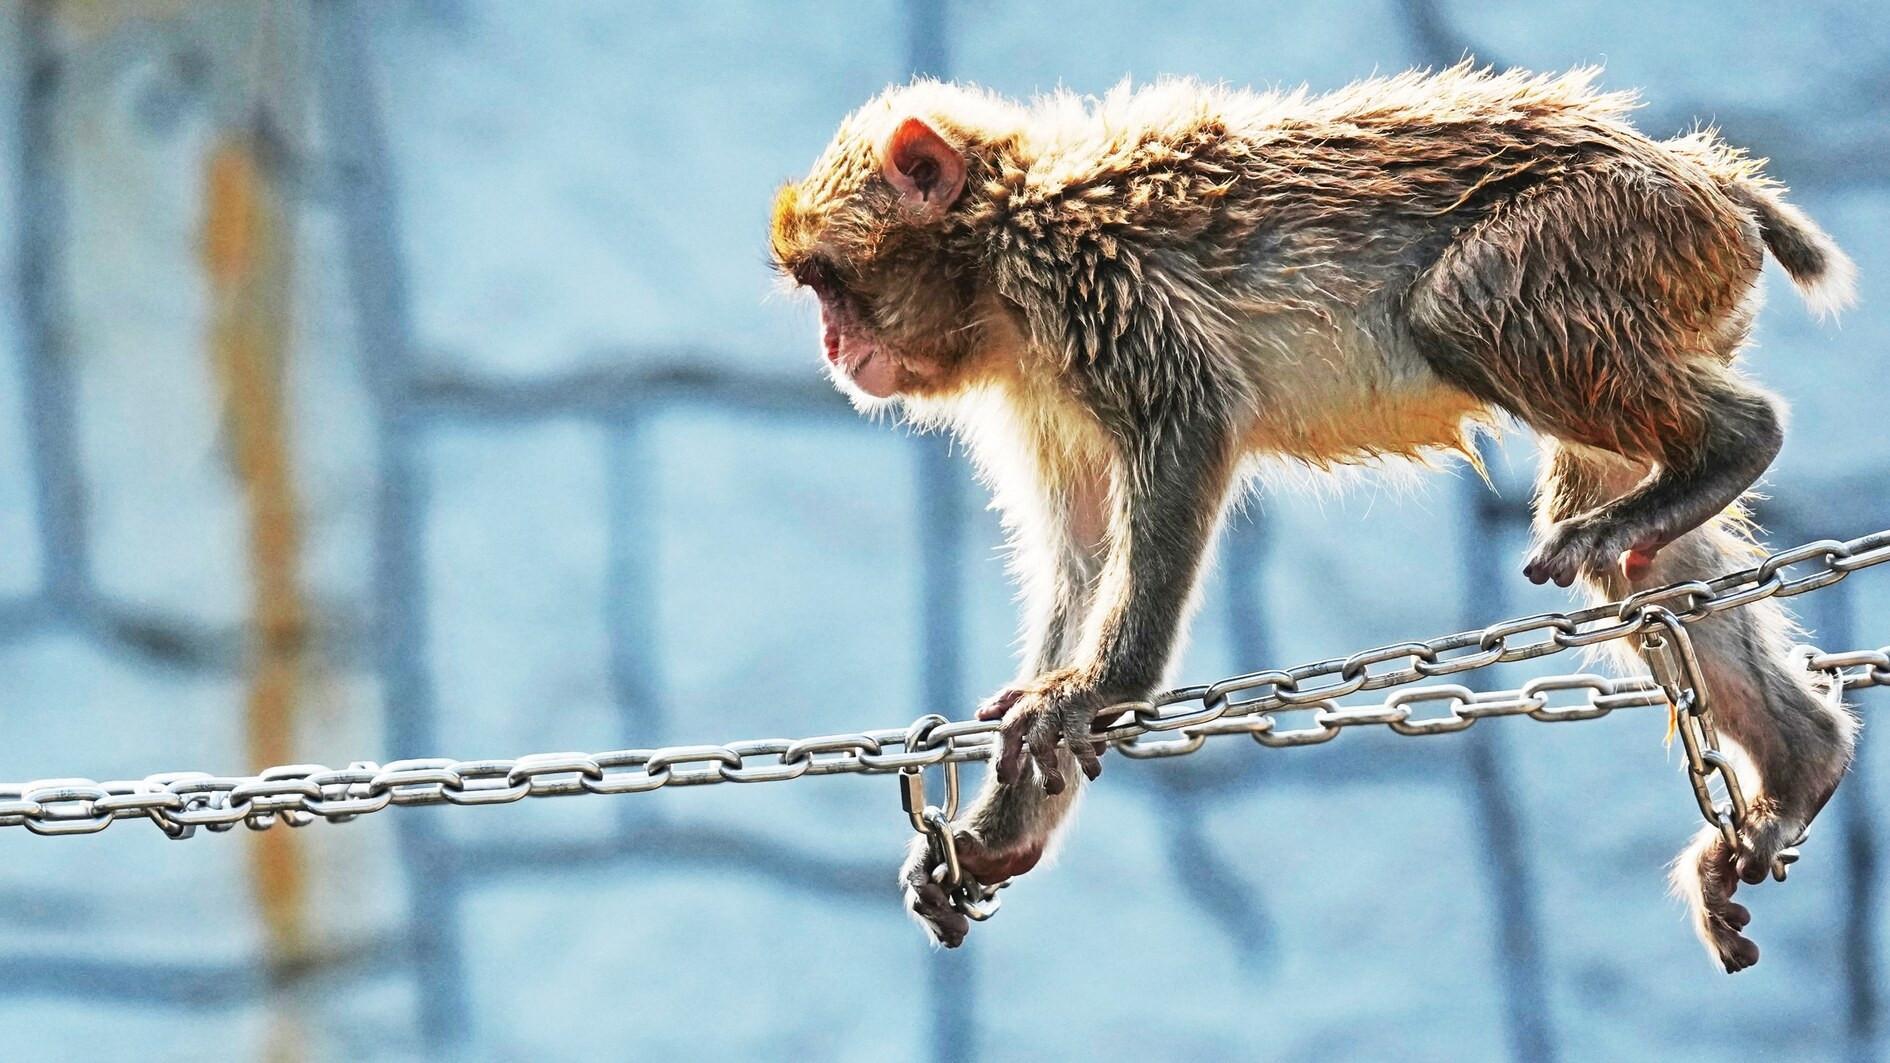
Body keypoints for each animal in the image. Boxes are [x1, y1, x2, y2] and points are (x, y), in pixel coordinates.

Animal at [768, 64, 1858, 973]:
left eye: (831, 284)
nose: (832, 345)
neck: (998, 255)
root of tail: (1699, 175)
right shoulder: (1038, 386)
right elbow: (1079, 557)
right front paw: (1002, 829)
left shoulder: (1089, 280)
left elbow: (1187, 426)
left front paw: (1100, 689)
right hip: (1667, 282)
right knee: (1632, 560)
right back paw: (1797, 761)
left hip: (1603, 230)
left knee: (1462, 305)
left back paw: (1737, 444)